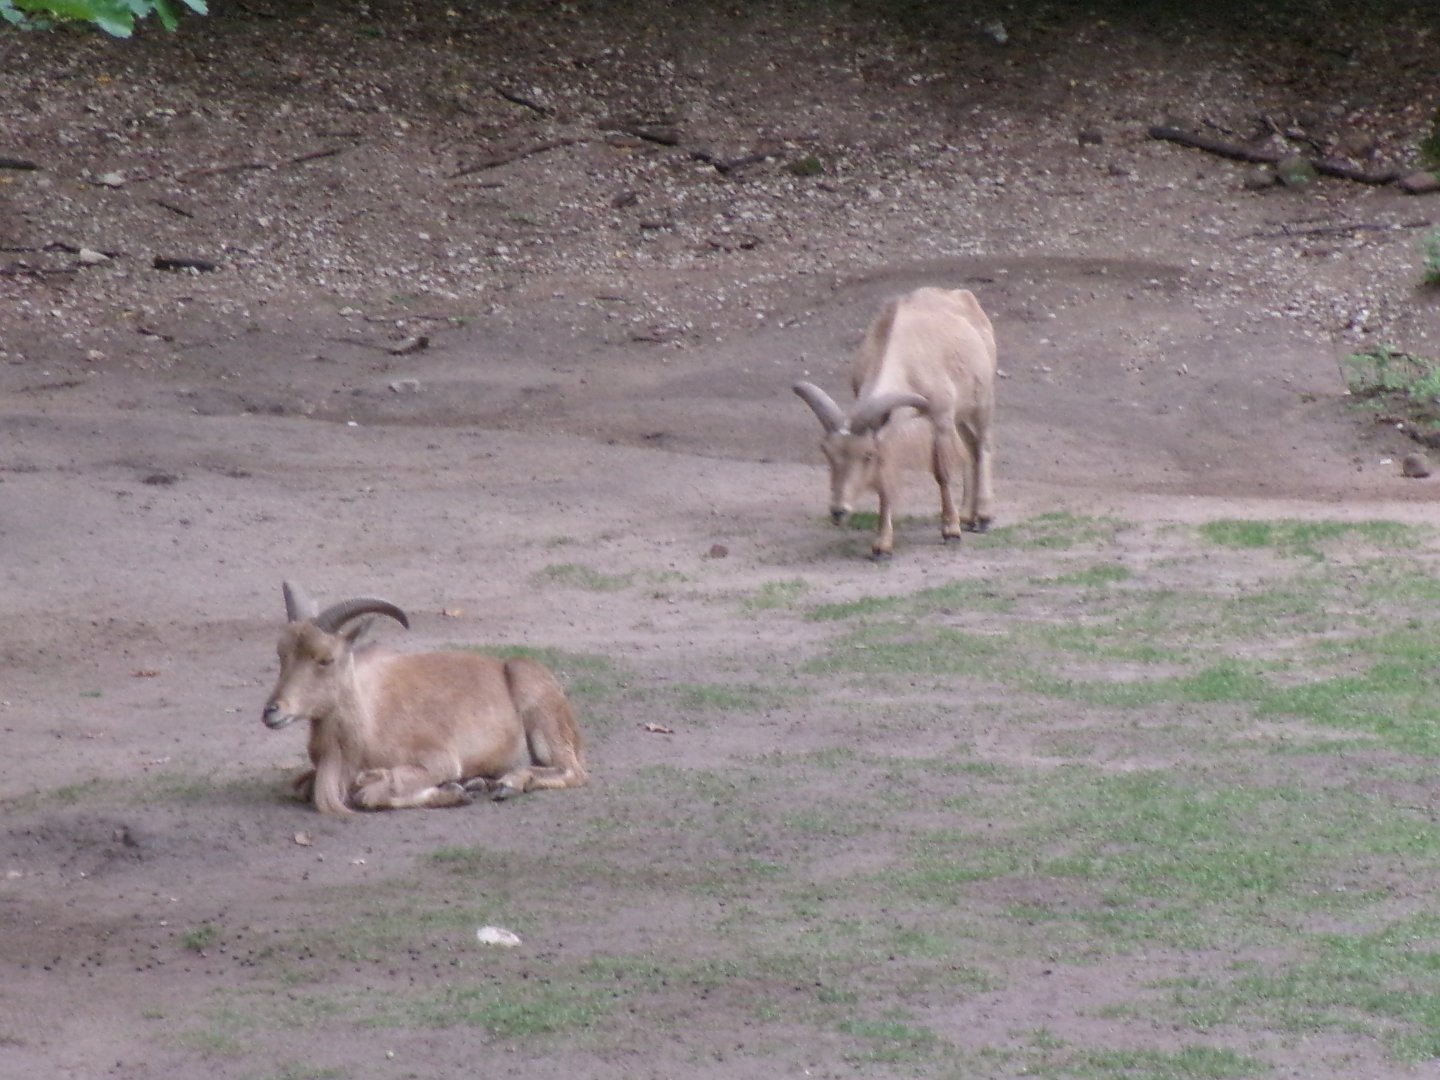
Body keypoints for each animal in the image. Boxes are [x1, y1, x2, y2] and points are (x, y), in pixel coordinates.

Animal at [262, 582, 587, 814]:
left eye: (325, 659)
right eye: (281, 653)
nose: (272, 711)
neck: (365, 724)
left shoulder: (438, 759)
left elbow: (371, 793)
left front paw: (455, 791)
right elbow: (298, 786)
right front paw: (462, 788)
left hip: (541, 713)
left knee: (572, 771)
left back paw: (509, 783)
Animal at [793, 286, 996, 559]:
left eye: (866, 454)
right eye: (826, 452)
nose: (838, 511)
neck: (905, 356)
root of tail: (962, 295)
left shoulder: (940, 417)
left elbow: (942, 473)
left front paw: (951, 532)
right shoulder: (889, 428)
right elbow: (884, 481)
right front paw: (882, 546)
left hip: (982, 401)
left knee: (983, 445)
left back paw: (983, 516)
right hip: (961, 414)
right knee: (970, 447)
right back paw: (967, 516)